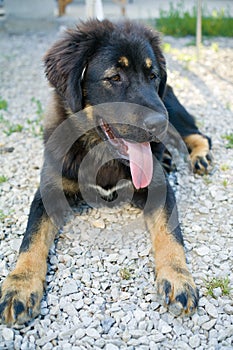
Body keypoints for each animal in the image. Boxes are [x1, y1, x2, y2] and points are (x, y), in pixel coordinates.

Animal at [0, 19, 213, 326]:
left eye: (152, 75)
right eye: (114, 77)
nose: (159, 123)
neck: (101, 154)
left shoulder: (160, 189)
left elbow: (170, 235)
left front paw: (178, 278)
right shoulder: (48, 190)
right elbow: (31, 238)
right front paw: (20, 285)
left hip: (172, 108)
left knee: (199, 134)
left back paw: (200, 157)